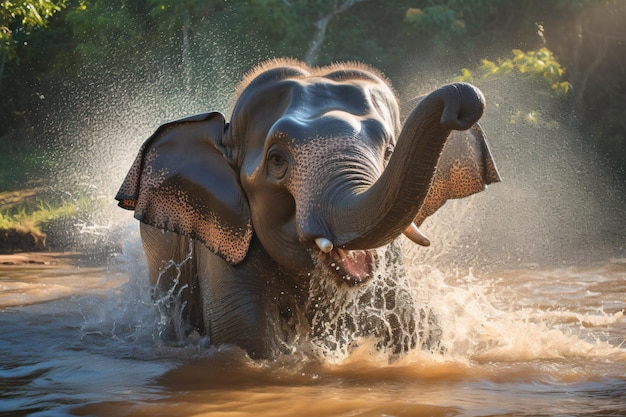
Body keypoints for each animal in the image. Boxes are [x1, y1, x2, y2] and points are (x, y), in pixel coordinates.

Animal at [116, 57, 498, 358]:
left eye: (389, 151)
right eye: (276, 160)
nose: (463, 97)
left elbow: (415, 320)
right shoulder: (226, 247)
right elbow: (246, 337)